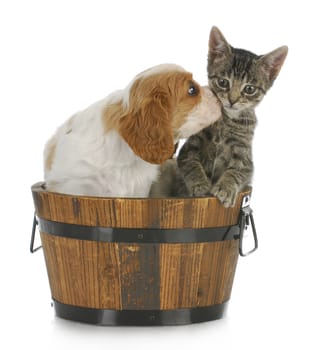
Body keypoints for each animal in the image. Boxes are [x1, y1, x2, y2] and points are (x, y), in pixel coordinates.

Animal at [151, 28, 288, 208]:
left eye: (249, 89)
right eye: (223, 82)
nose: (232, 100)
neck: (225, 120)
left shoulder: (244, 153)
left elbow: (238, 170)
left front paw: (225, 188)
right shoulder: (190, 146)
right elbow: (190, 163)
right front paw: (200, 185)